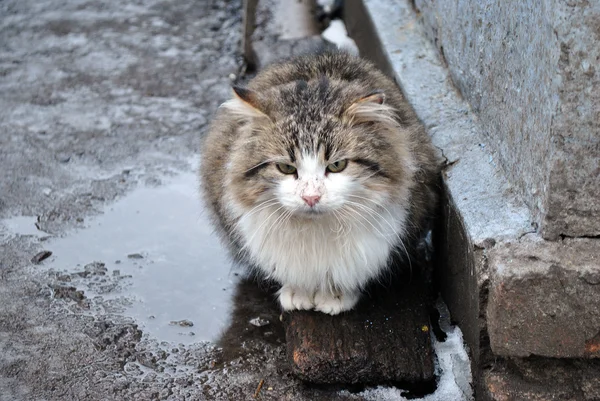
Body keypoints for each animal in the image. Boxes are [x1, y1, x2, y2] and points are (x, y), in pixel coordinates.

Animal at [199, 50, 438, 314]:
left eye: (337, 165)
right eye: (286, 167)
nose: (311, 197)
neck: (316, 232)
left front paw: (335, 296)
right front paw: (298, 293)